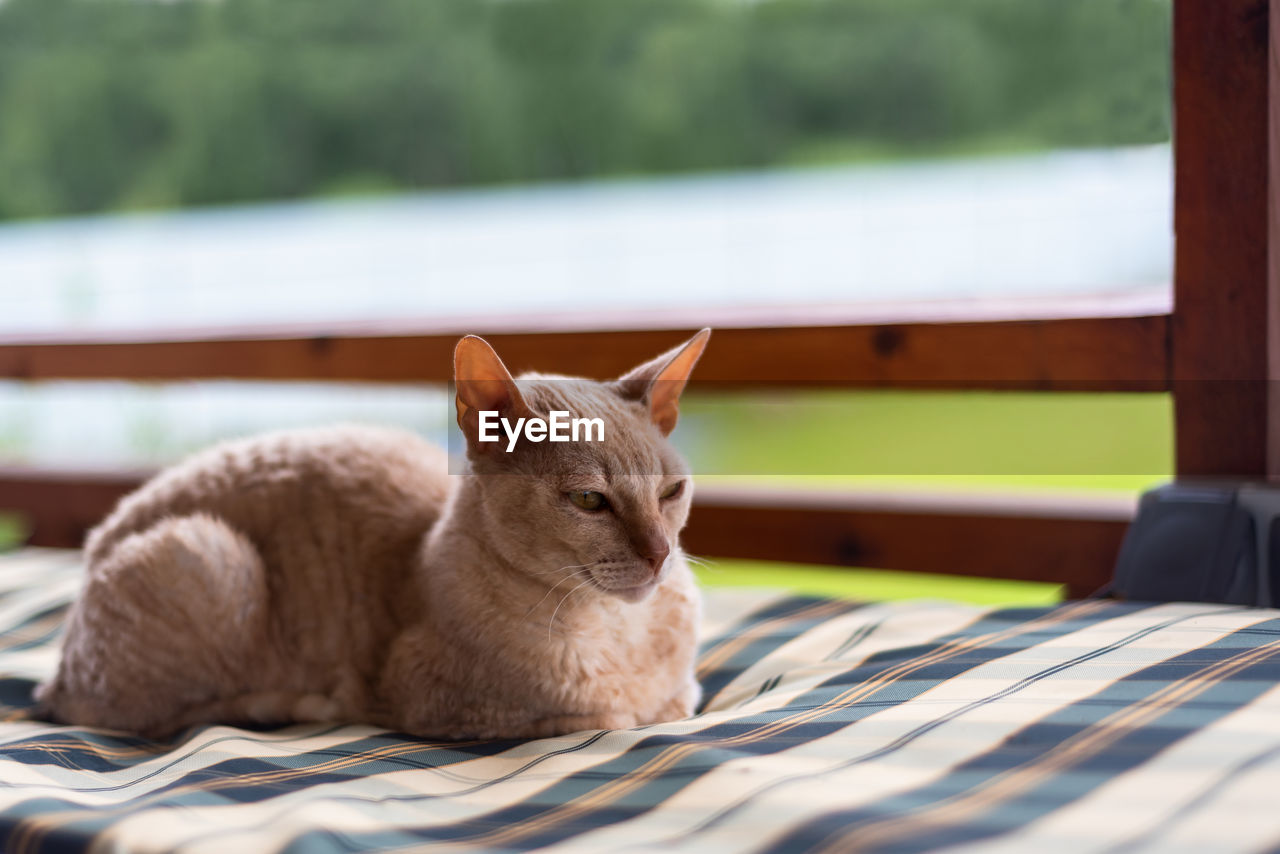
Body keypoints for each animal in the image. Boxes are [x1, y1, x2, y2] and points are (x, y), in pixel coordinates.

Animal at [35, 330, 711, 737]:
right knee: (158, 717)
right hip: (208, 553)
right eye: (589, 501)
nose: (659, 555)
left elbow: (679, 703)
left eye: (671, 493)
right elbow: (609, 718)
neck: (619, 631)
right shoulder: (448, 706)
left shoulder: (686, 693)